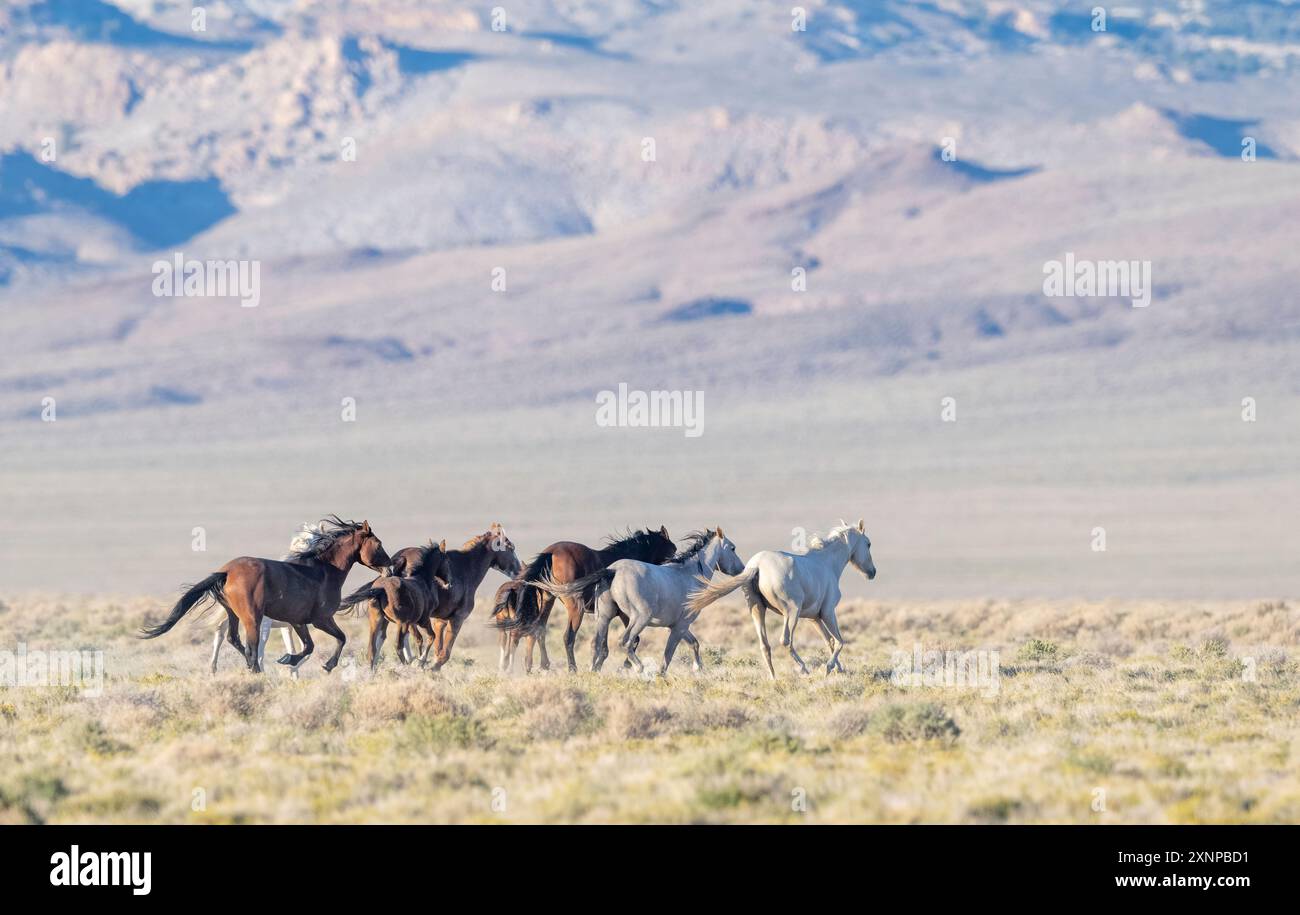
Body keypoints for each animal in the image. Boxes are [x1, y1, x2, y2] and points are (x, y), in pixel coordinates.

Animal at [140, 517, 390, 675]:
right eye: (378, 544)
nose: (389, 568)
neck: (324, 570)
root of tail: (227, 572)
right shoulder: (321, 620)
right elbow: (341, 638)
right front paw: (326, 665)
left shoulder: (297, 622)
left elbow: (309, 646)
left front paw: (289, 659)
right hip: (253, 619)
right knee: (250, 647)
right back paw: (255, 670)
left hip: (235, 614)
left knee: (233, 639)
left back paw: (251, 668)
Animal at [410, 525, 522, 670]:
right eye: (511, 548)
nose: (520, 571)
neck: (465, 569)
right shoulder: (457, 618)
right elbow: (444, 653)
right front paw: (430, 667)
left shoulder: (440, 621)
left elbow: (438, 648)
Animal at [496, 522, 676, 670]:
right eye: (672, 549)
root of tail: (551, 553)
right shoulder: (625, 614)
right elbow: (633, 639)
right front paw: (623, 666)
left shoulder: (605, 615)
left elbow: (604, 645)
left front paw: (598, 666)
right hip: (576, 607)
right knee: (568, 637)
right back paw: (572, 669)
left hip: (548, 601)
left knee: (538, 629)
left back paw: (539, 666)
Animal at [686, 517, 878, 675]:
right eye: (868, 544)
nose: (872, 572)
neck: (827, 563)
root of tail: (757, 565)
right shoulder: (828, 612)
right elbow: (839, 641)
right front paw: (829, 668)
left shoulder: (814, 618)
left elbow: (829, 641)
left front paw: (839, 669)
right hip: (791, 613)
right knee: (785, 641)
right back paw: (804, 669)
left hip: (757, 609)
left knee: (765, 645)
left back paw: (774, 678)